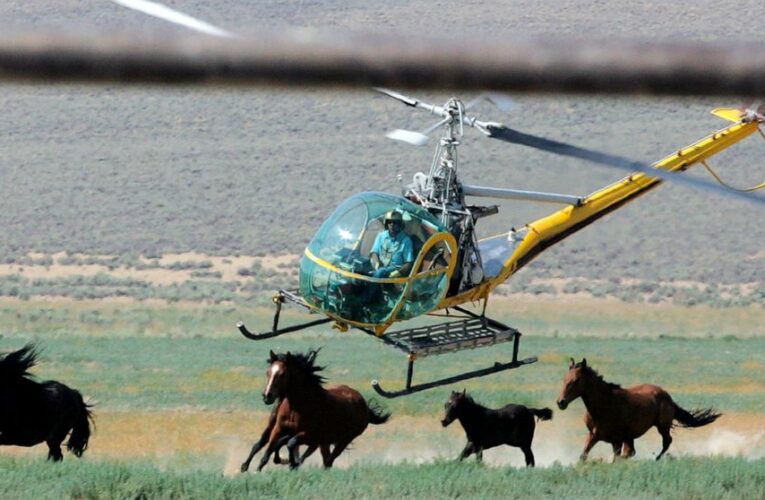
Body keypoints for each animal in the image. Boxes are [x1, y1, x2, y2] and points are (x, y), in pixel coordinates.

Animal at [240, 349, 390, 472]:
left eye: (282, 374)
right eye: (268, 372)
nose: (267, 396)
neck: (296, 407)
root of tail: (363, 404)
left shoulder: (308, 435)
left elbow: (289, 443)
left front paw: (290, 463)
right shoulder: (278, 428)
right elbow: (267, 448)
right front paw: (253, 468)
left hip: (344, 440)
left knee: (328, 461)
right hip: (324, 442)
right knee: (325, 459)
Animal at [557, 358, 721, 461]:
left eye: (576, 381)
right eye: (564, 379)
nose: (560, 402)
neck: (604, 405)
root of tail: (667, 396)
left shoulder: (616, 440)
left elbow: (617, 458)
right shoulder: (593, 435)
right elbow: (583, 456)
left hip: (662, 426)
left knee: (667, 441)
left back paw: (656, 458)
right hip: (631, 436)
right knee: (633, 451)